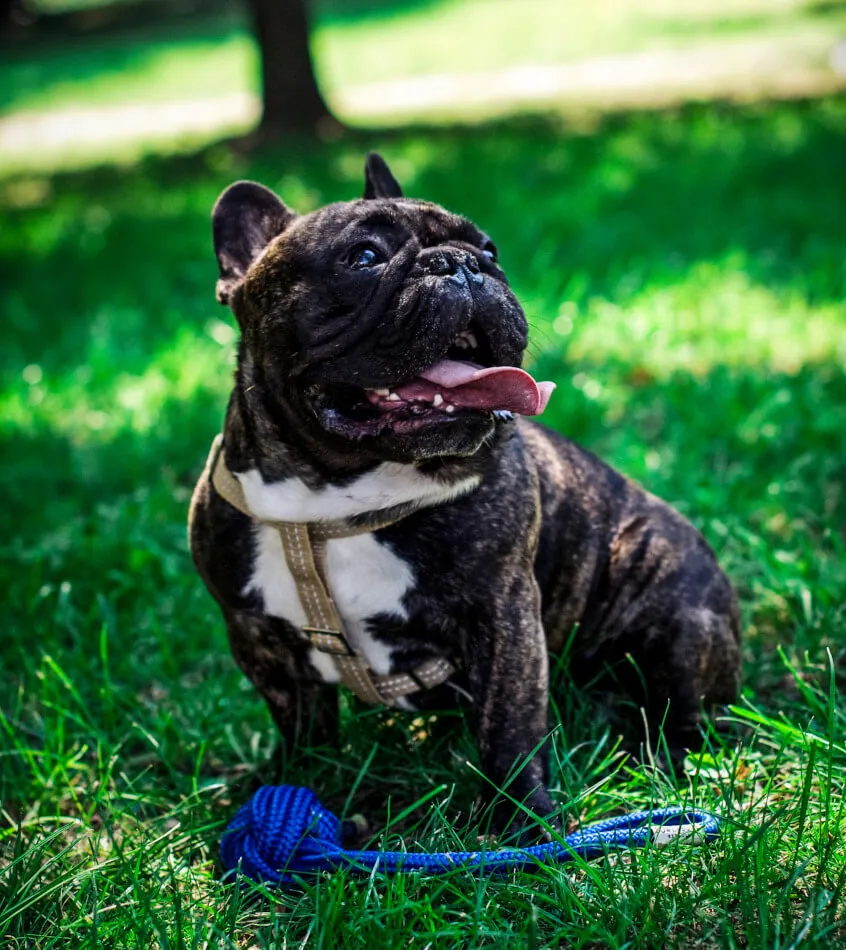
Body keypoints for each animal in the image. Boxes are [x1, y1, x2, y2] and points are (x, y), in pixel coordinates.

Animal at [190, 154, 744, 832]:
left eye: (490, 248)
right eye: (364, 256)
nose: (463, 263)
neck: (336, 497)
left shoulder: (504, 615)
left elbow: (508, 729)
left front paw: (522, 824)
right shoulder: (256, 634)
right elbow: (301, 720)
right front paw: (297, 781)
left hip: (678, 620)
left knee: (684, 713)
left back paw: (664, 763)